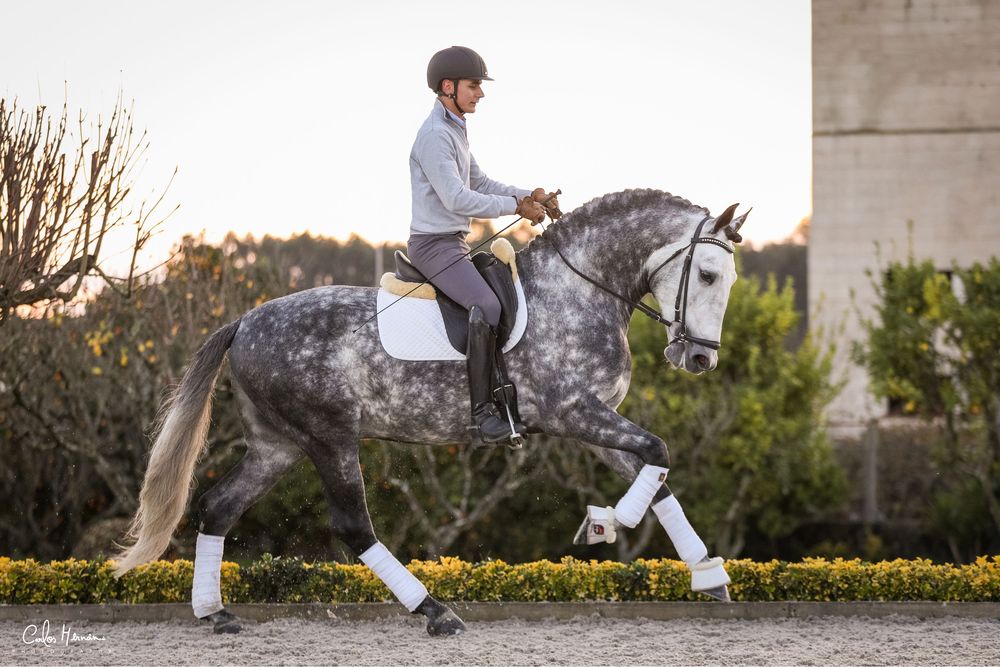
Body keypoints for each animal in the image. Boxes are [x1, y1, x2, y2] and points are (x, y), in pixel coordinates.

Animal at [113, 189, 748, 636]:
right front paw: (606, 522)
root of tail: (245, 321)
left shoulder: (591, 422)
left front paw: (707, 573)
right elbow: (658, 453)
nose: (699, 358)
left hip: (279, 445)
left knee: (219, 506)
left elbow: (656, 473)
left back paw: (214, 612)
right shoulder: (573, 412)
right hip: (329, 438)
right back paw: (435, 611)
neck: (577, 290)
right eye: (707, 275)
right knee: (353, 526)